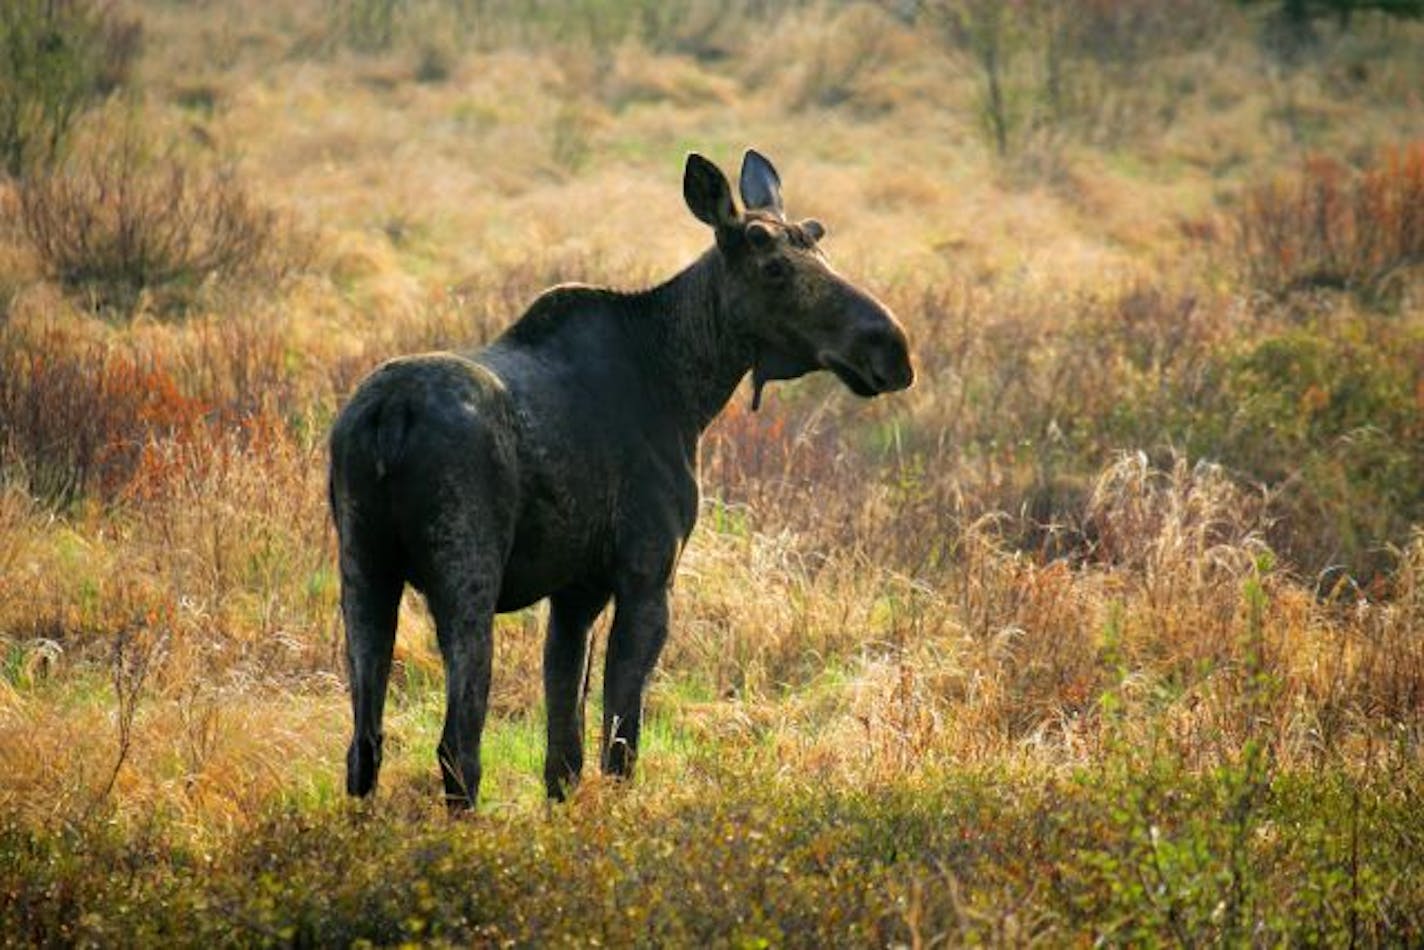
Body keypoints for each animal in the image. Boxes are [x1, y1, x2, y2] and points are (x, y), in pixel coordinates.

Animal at [330, 148, 911, 808]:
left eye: (816, 239)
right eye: (772, 267)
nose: (892, 347)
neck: (688, 389)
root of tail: (387, 417)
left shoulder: (575, 593)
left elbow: (563, 755)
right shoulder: (646, 576)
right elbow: (620, 745)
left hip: (362, 571)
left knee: (363, 746)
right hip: (464, 575)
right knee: (458, 747)